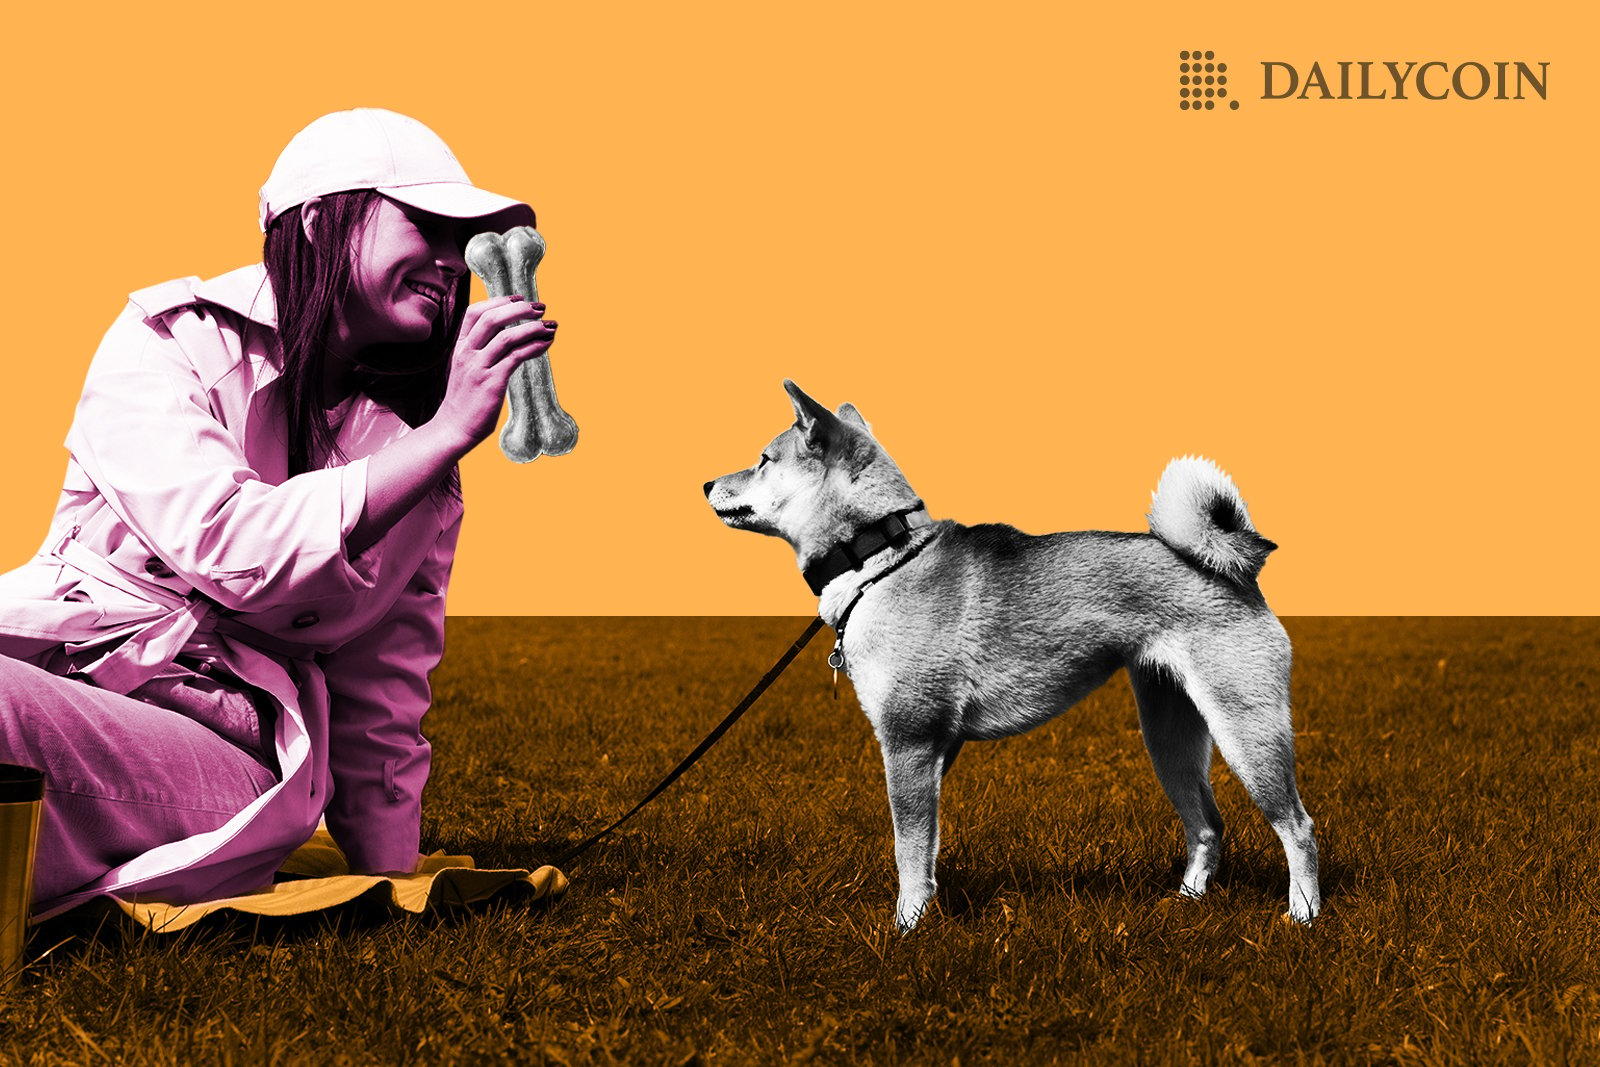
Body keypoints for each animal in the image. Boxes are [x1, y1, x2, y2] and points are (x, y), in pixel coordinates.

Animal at [707, 383, 1318, 934]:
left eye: (763, 460)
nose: (708, 481)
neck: (878, 557)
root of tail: (1237, 568)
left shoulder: (908, 742)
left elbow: (908, 850)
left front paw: (906, 929)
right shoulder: (937, 749)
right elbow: (926, 849)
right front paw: (923, 915)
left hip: (1246, 732)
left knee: (1298, 827)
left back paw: (1304, 914)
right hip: (1168, 737)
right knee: (1208, 825)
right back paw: (1187, 901)